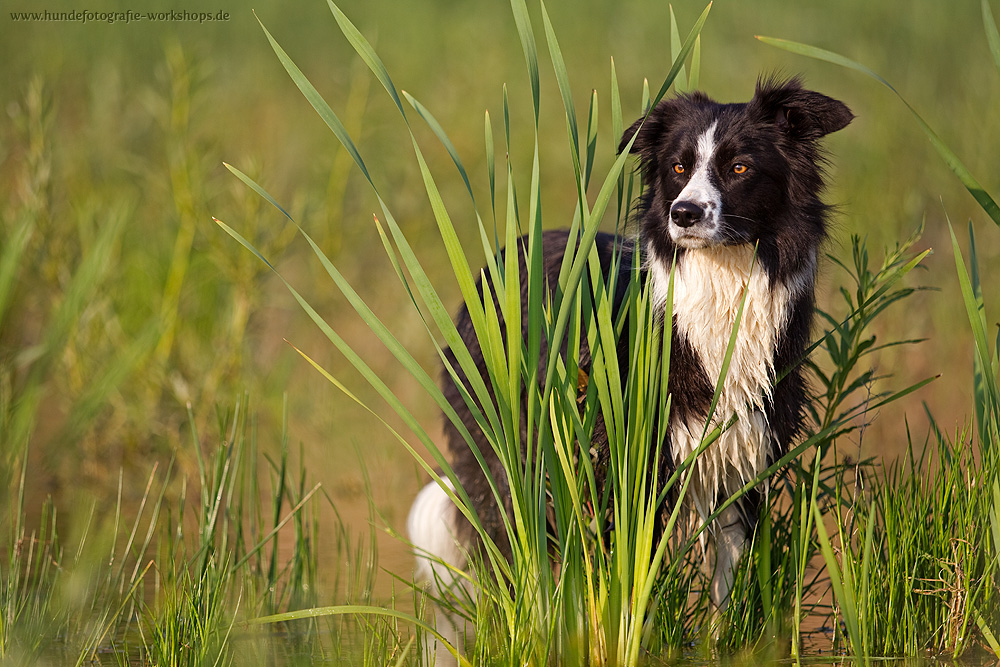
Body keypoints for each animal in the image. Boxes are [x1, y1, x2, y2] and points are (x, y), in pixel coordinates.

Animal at [406, 75, 852, 648]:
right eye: (678, 168)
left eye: (739, 167)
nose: (683, 214)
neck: (719, 289)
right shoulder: (621, 463)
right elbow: (623, 585)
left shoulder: (744, 454)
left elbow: (725, 581)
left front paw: (719, 647)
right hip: (506, 452)